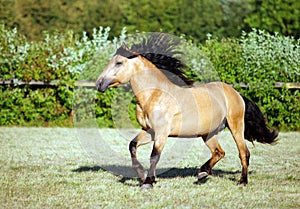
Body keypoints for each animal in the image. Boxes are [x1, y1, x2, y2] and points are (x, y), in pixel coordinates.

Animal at [95, 32, 278, 189]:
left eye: (119, 63)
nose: (99, 84)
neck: (155, 95)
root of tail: (236, 93)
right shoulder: (149, 131)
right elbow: (132, 146)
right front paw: (142, 175)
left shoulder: (161, 133)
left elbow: (155, 155)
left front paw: (148, 182)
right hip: (209, 133)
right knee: (219, 152)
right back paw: (202, 173)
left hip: (236, 126)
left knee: (243, 152)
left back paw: (242, 181)